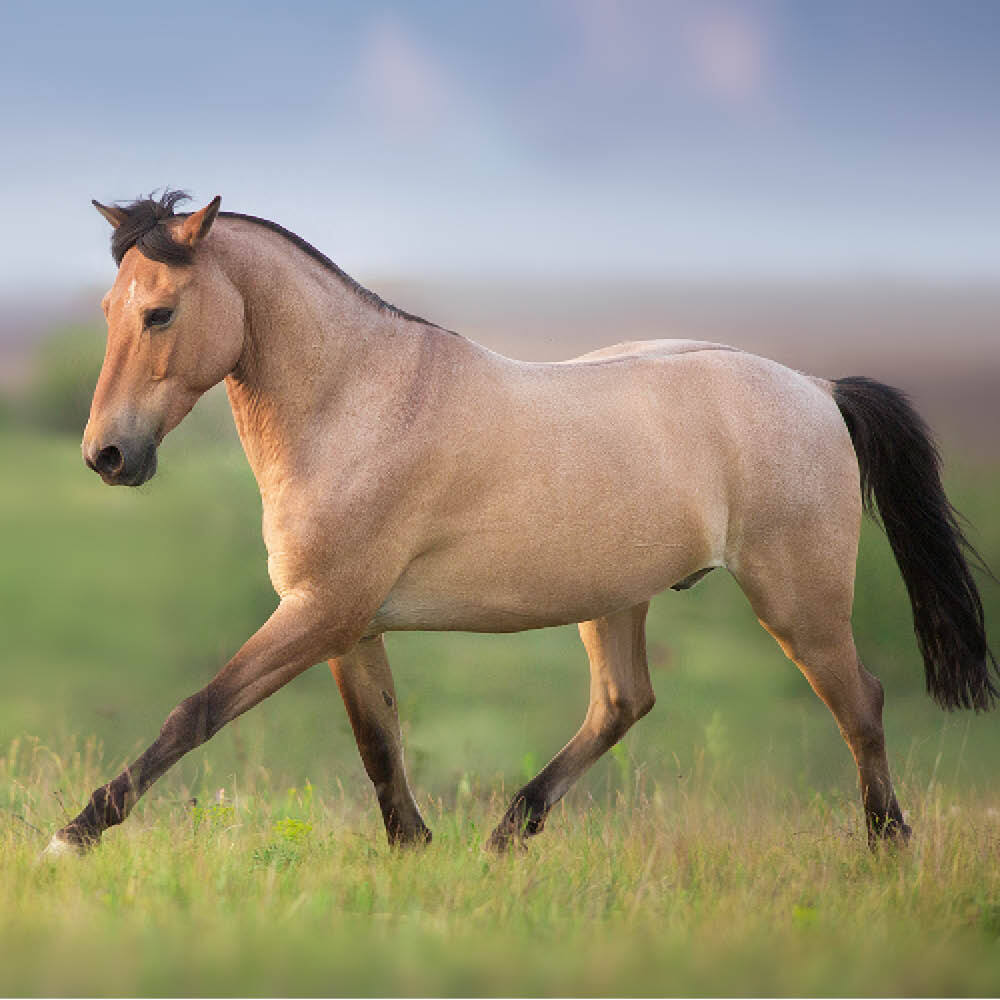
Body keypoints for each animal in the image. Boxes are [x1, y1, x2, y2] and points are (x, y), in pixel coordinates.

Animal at [44, 190, 996, 857]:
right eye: (108, 311)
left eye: (160, 311)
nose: (107, 455)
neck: (358, 402)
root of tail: (820, 390)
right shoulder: (348, 626)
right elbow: (379, 742)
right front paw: (417, 852)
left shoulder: (319, 613)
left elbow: (197, 713)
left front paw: (72, 836)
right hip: (616, 600)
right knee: (623, 703)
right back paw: (508, 833)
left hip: (798, 602)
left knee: (860, 704)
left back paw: (886, 848)